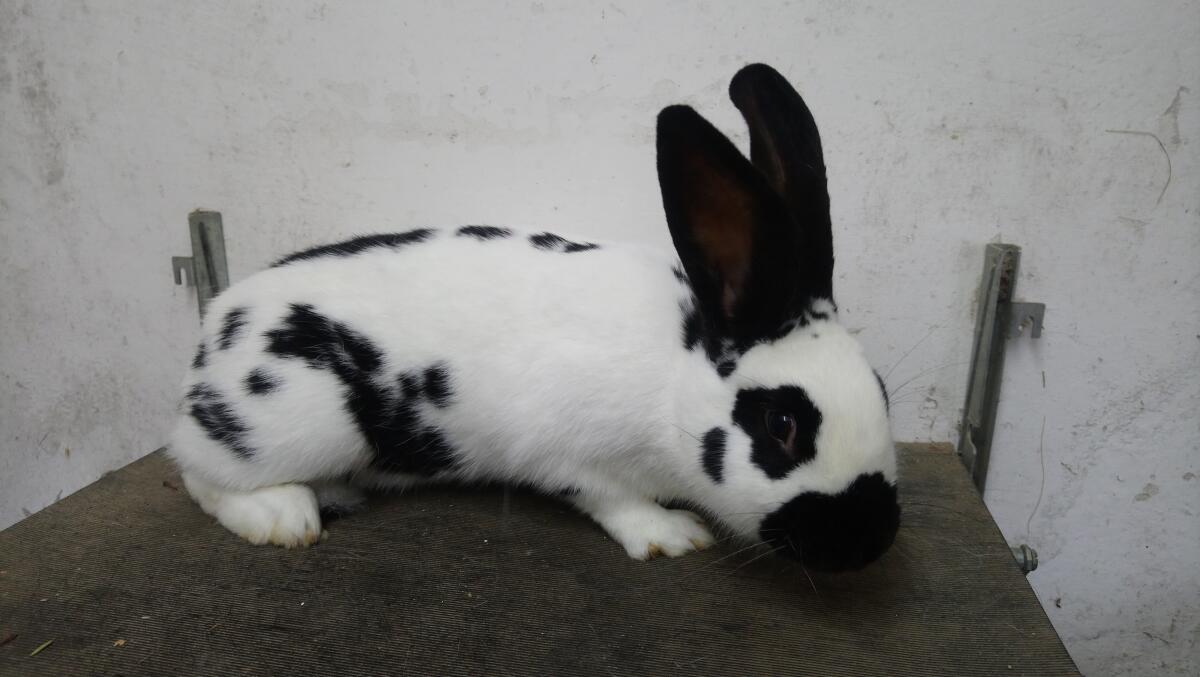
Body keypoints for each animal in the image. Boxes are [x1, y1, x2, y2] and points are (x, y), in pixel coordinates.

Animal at [167, 63, 899, 573]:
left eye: (884, 391)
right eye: (782, 426)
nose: (866, 543)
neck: (673, 379)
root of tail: (210, 338)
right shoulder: (569, 450)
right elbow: (613, 501)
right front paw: (673, 536)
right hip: (292, 421)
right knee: (196, 470)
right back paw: (284, 514)